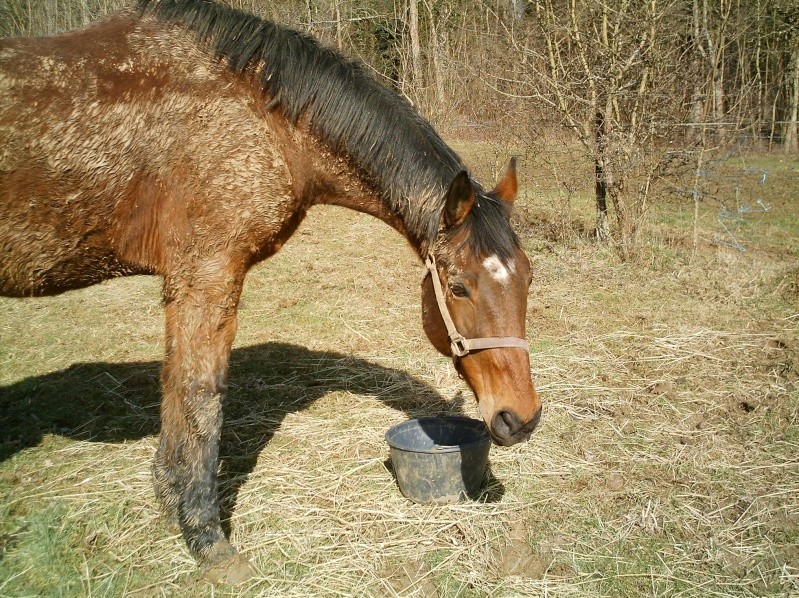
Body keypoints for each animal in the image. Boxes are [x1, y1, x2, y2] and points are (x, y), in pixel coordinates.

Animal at [0, 0, 544, 584]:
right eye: (459, 287)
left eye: (528, 277)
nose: (521, 418)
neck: (263, 117)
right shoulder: (207, 276)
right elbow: (201, 396)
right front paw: (207, 540)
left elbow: (176, 393)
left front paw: (172, 505)